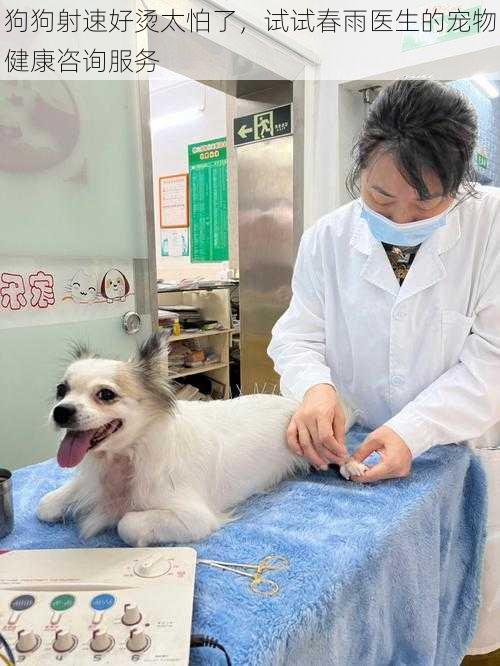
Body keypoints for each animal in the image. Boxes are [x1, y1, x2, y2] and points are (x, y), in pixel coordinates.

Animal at [37, 332, 366, 544]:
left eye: (105, 395)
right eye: (61, 391)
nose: (61, 411)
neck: (126, 456)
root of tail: (296, 406)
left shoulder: (194, 518)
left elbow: (126, 524)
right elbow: (46, 504)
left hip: (320, 444)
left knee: (341, 453)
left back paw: (352, 465)